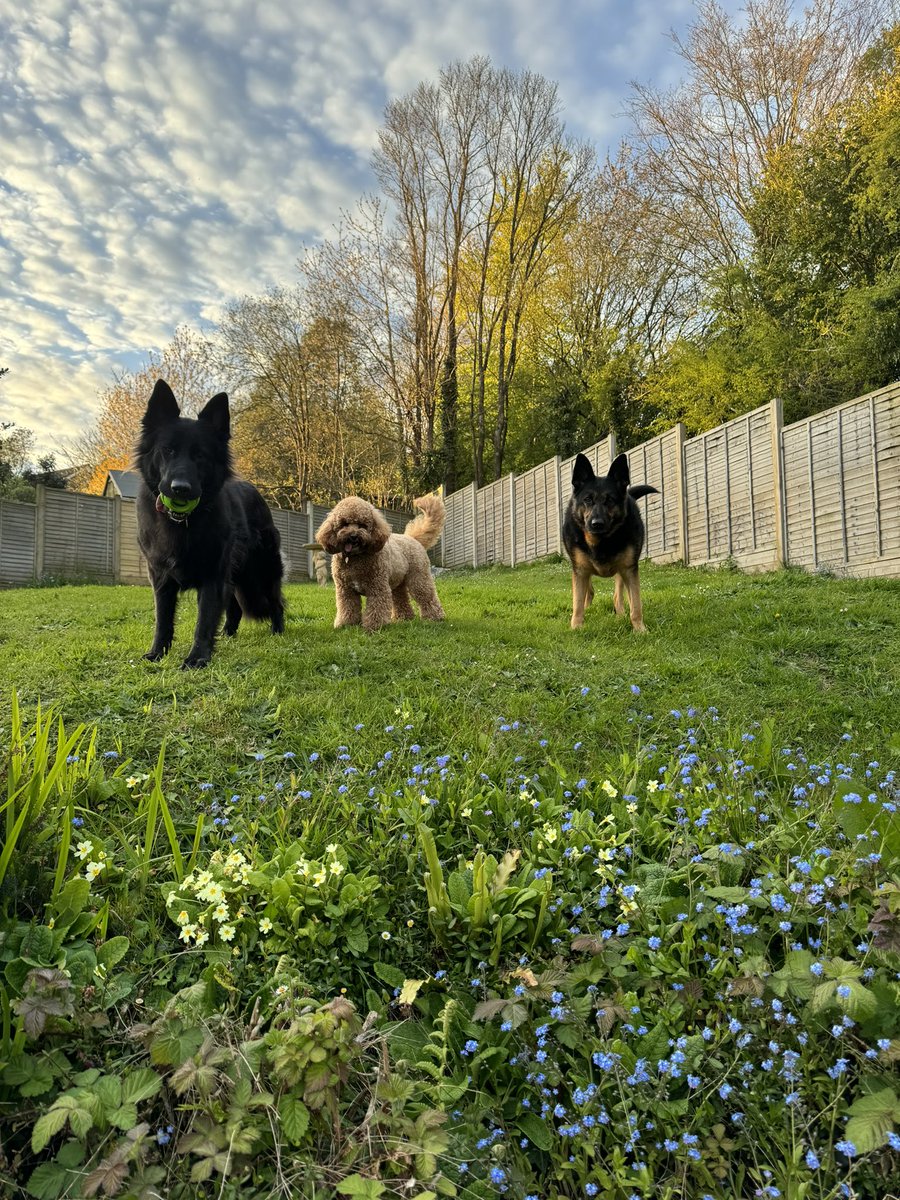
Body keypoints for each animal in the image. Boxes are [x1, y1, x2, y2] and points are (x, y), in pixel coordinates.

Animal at [135, 379, 285, 672]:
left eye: (200, 456)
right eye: (167, 451)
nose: (180, 489)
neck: (184, 525)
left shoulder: (213, 576)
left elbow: (204, 621)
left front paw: (197, 658)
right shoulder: (161, 578)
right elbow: (162, 619)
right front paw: (157, 653)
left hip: (262, 571)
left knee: (275, 601)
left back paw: (278, 631)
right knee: (235, 607)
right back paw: (228, 634)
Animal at [316, 492, 448, 633]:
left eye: (362, 525)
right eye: (344, 524)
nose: (353, 536)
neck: (356, 558)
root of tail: (412, 538)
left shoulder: (377, 587)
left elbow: (376, 608)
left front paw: (374, 626)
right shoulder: (346, 590)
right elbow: (347, 607)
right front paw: (346, 624)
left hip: (418, 578)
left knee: (427, 596)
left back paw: (435, 617)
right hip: (397, 584)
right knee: (401, 599)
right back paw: (404, 618)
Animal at [566, 453, 657, 633]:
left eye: (610, 500)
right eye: (587, 499)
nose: (597, 524)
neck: (601, 542)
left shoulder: (629, 569)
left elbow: (636, 605)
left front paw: (640, 630)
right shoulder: (580, 569)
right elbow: (577, 603)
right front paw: (576, 627)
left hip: (621, 570)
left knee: (617, 596)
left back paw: (620, 614)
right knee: (589, 591)